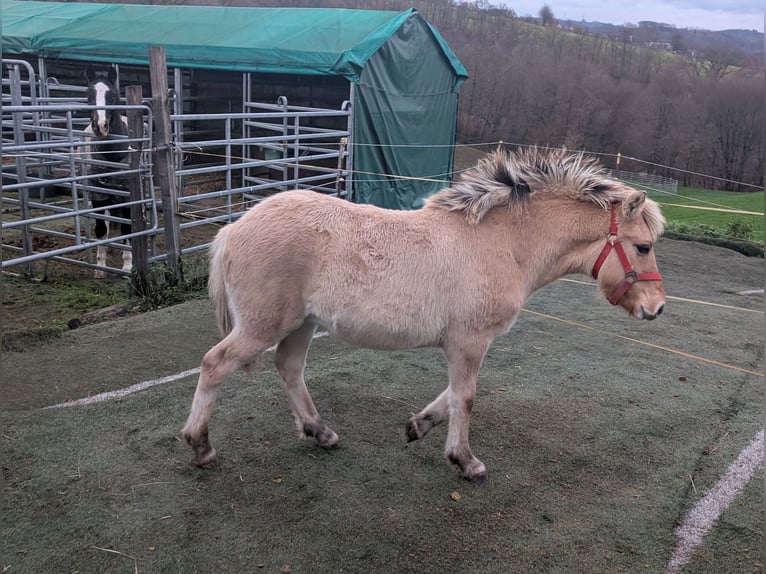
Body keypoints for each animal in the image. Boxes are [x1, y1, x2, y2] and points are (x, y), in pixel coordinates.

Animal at [181, 147, 666, 483]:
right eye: (643, 246)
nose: (657, 307)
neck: (502, 243)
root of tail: (233, 228)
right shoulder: (470, 342)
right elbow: (465, 397)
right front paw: (466, 462)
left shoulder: (463, 344)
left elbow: (452, 395)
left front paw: (418, 426)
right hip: (264, 324)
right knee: (214, 364)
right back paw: (200, 447)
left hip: (302, 324)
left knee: (289, 367)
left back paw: (321, 433)